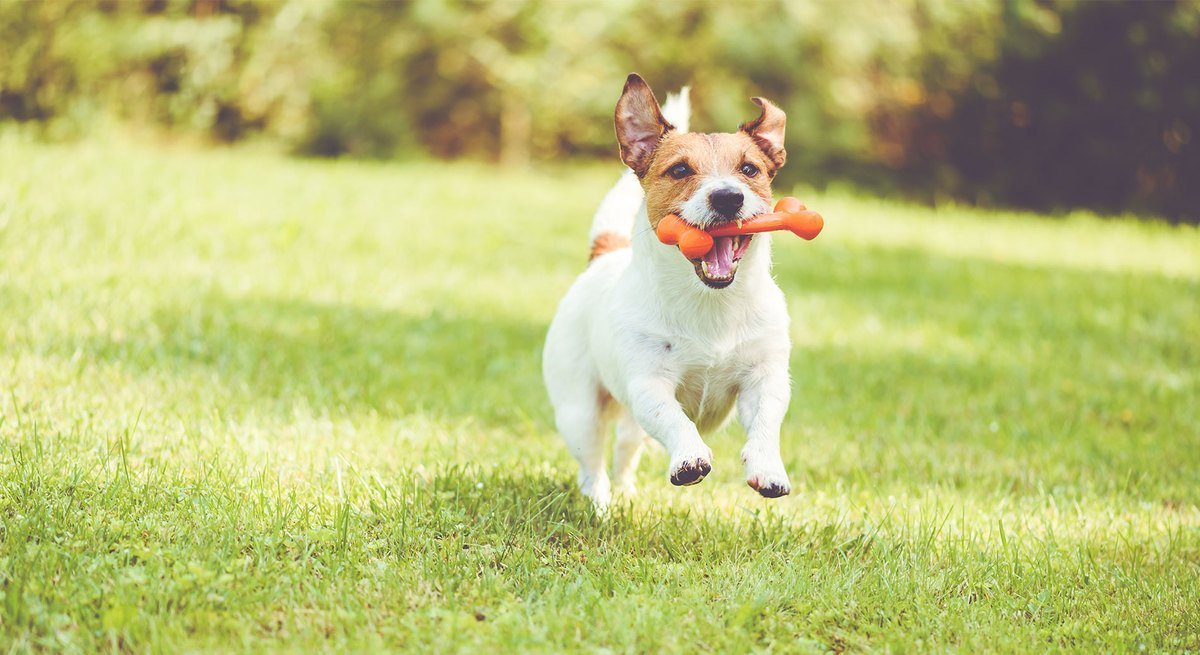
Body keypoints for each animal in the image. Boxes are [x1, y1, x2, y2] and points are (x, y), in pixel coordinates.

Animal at [542, 73, 787, 506]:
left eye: (749, 169)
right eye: (679, 170)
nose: (728, 197)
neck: (710, 302)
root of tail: (606, 254)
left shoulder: (767, 376)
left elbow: (766, 422)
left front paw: (768, 468)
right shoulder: (648, 384)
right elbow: (674, 420)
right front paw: (689, 458)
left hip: (628, 425)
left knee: (624, 451)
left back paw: (626, 494)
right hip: (579, 411)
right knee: (592, 466)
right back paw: (601, 506)